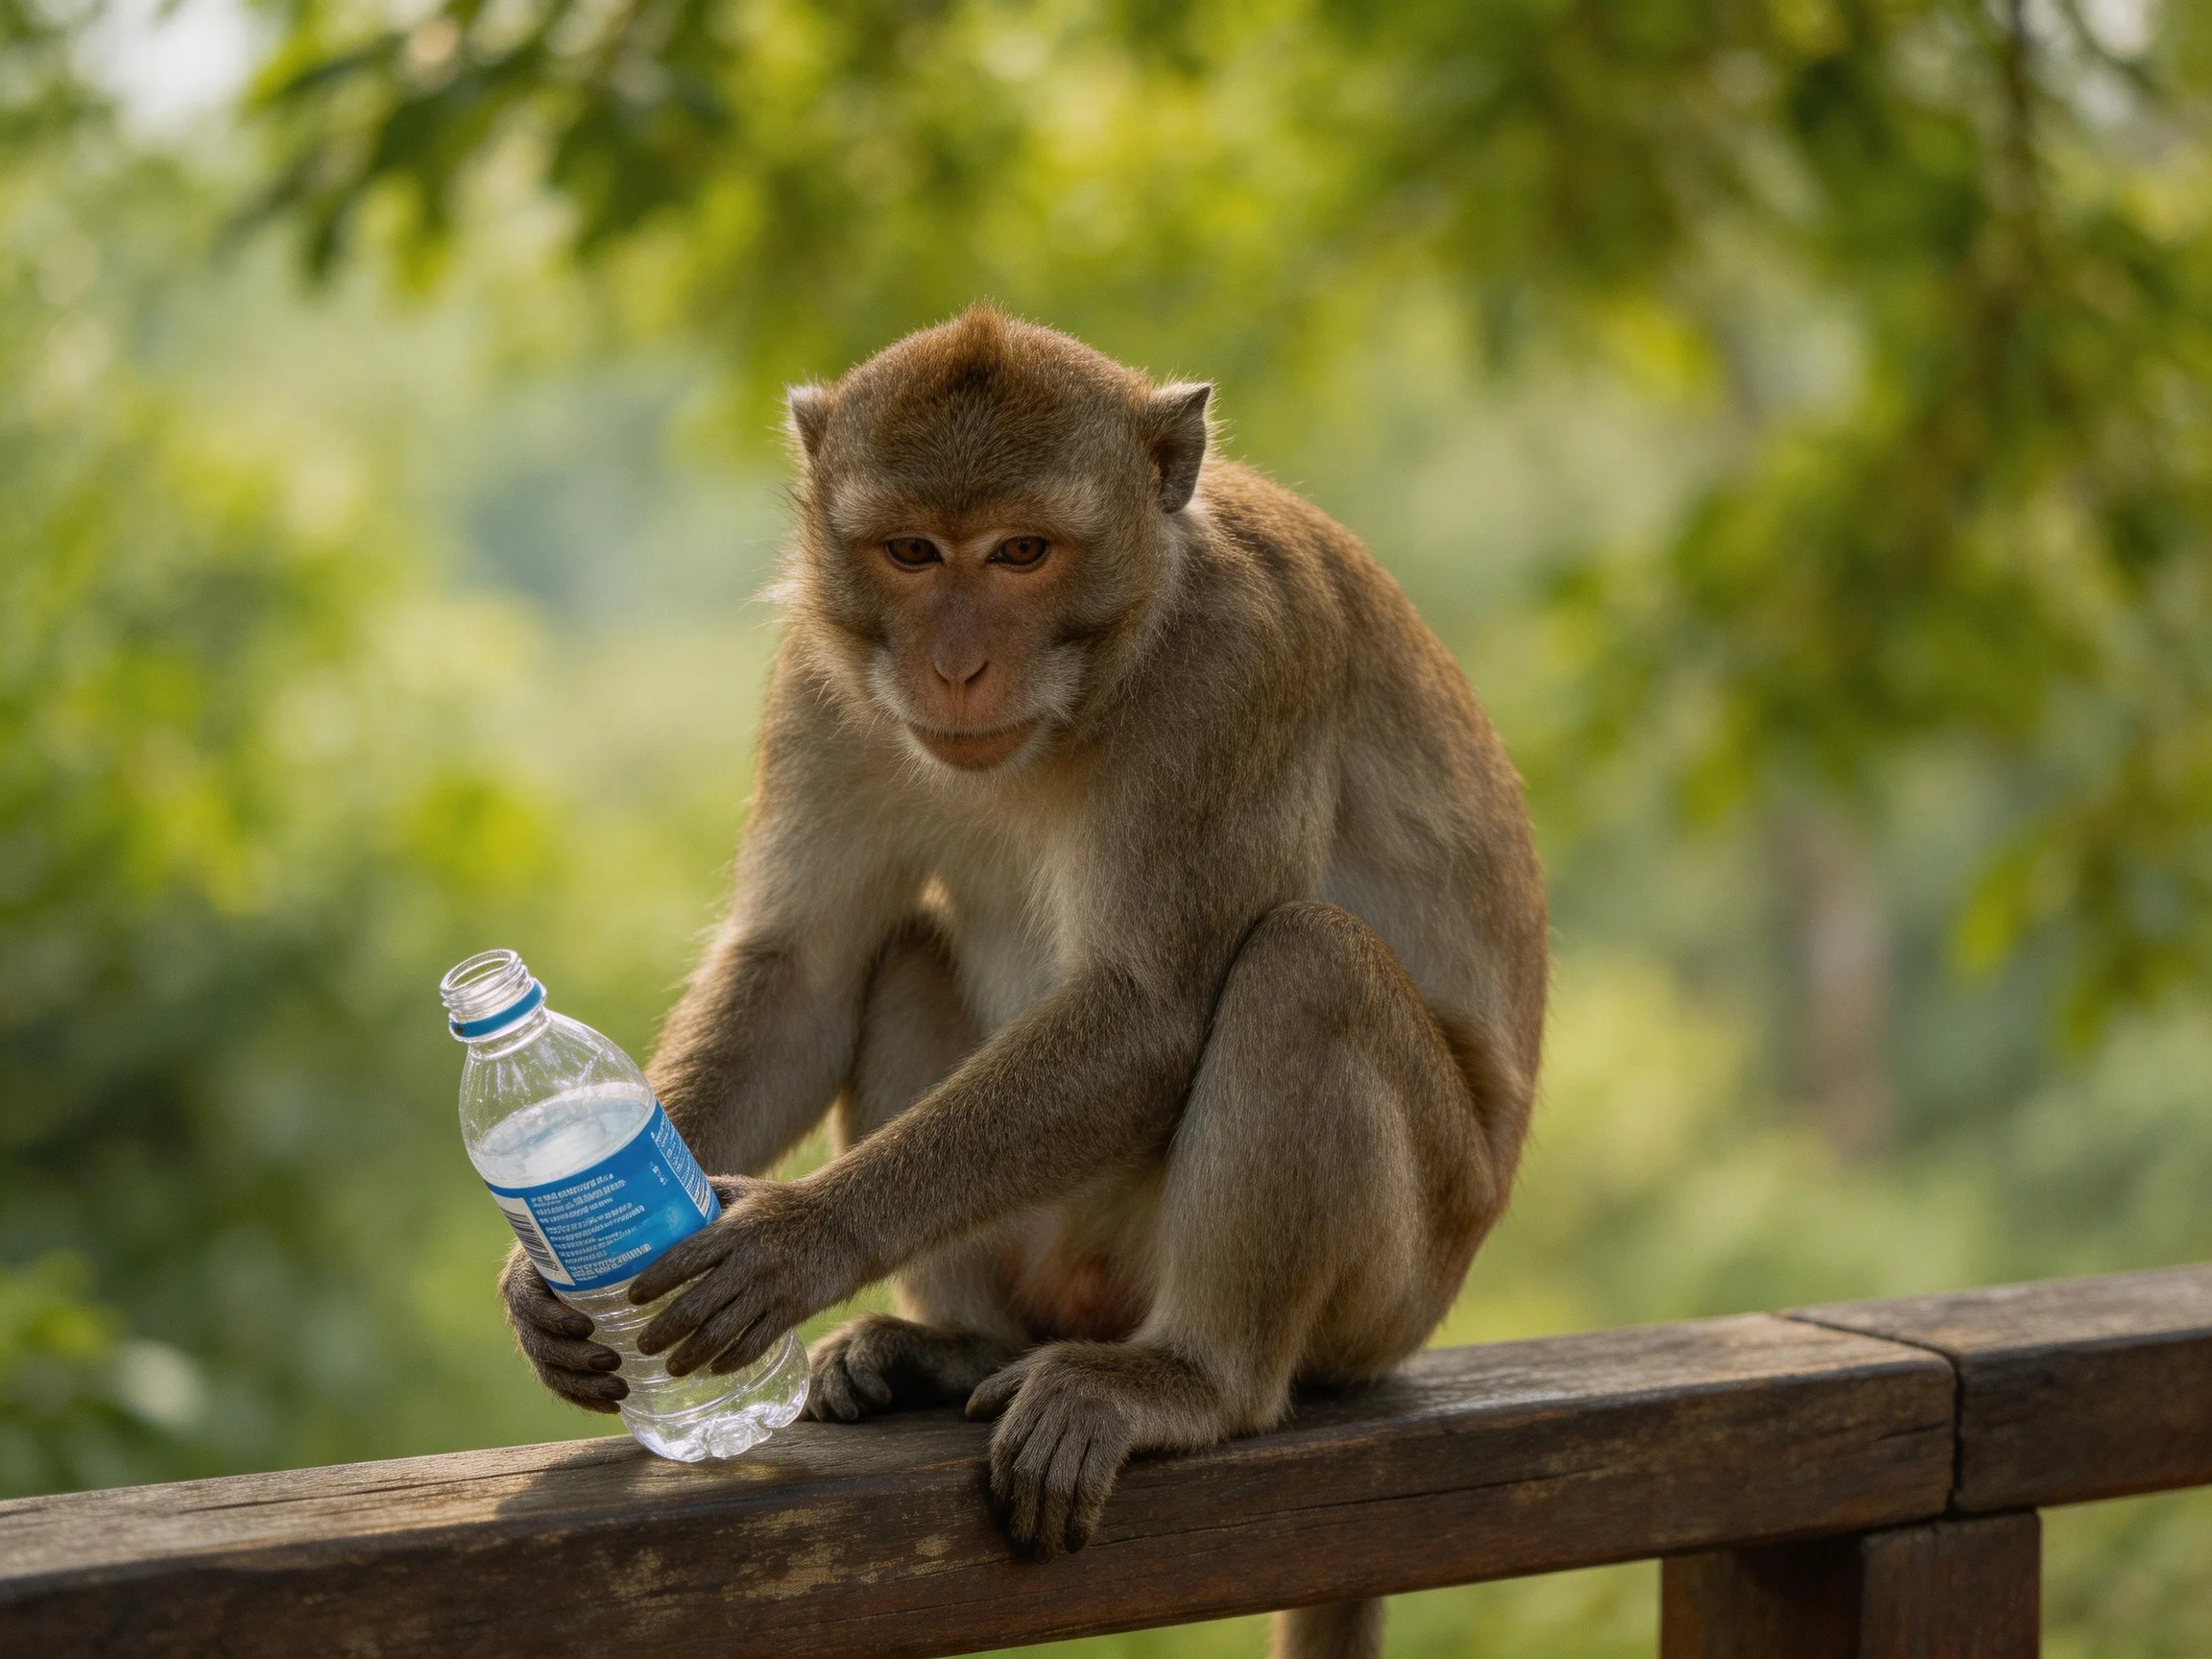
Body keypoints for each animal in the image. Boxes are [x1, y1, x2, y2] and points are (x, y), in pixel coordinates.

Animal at [497, 305, 1546, 1659]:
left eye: (1021, 553)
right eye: (911, 551)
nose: (953, 666)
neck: (1111, 664)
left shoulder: (1239, 667)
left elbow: (1153, 1005)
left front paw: (800, 1236)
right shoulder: (825, 675)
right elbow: (802, 968)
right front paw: (545, 1293)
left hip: (1396, 1293)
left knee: (1304, 966)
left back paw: (1189, 1382)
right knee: (901, 956)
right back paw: (954, 1347)